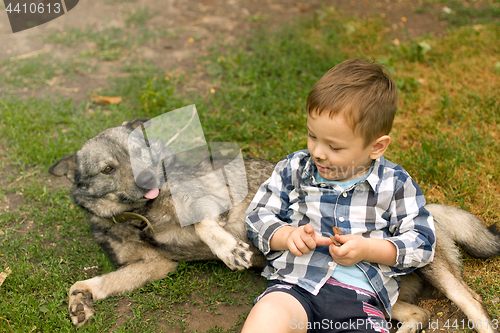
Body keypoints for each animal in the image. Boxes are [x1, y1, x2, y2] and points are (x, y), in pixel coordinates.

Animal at [47, 118, 500, 330]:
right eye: (109, 169)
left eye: (141, 154)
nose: (147, 180)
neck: (143, 217)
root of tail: (426, 205)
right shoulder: (155, 265)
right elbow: (86, 283)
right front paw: (80, 301)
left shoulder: (213, 202)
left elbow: (203, 226)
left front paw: (231, 250)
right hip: (383, 301)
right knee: (419, 314)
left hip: (436, 272)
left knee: (473, 305)